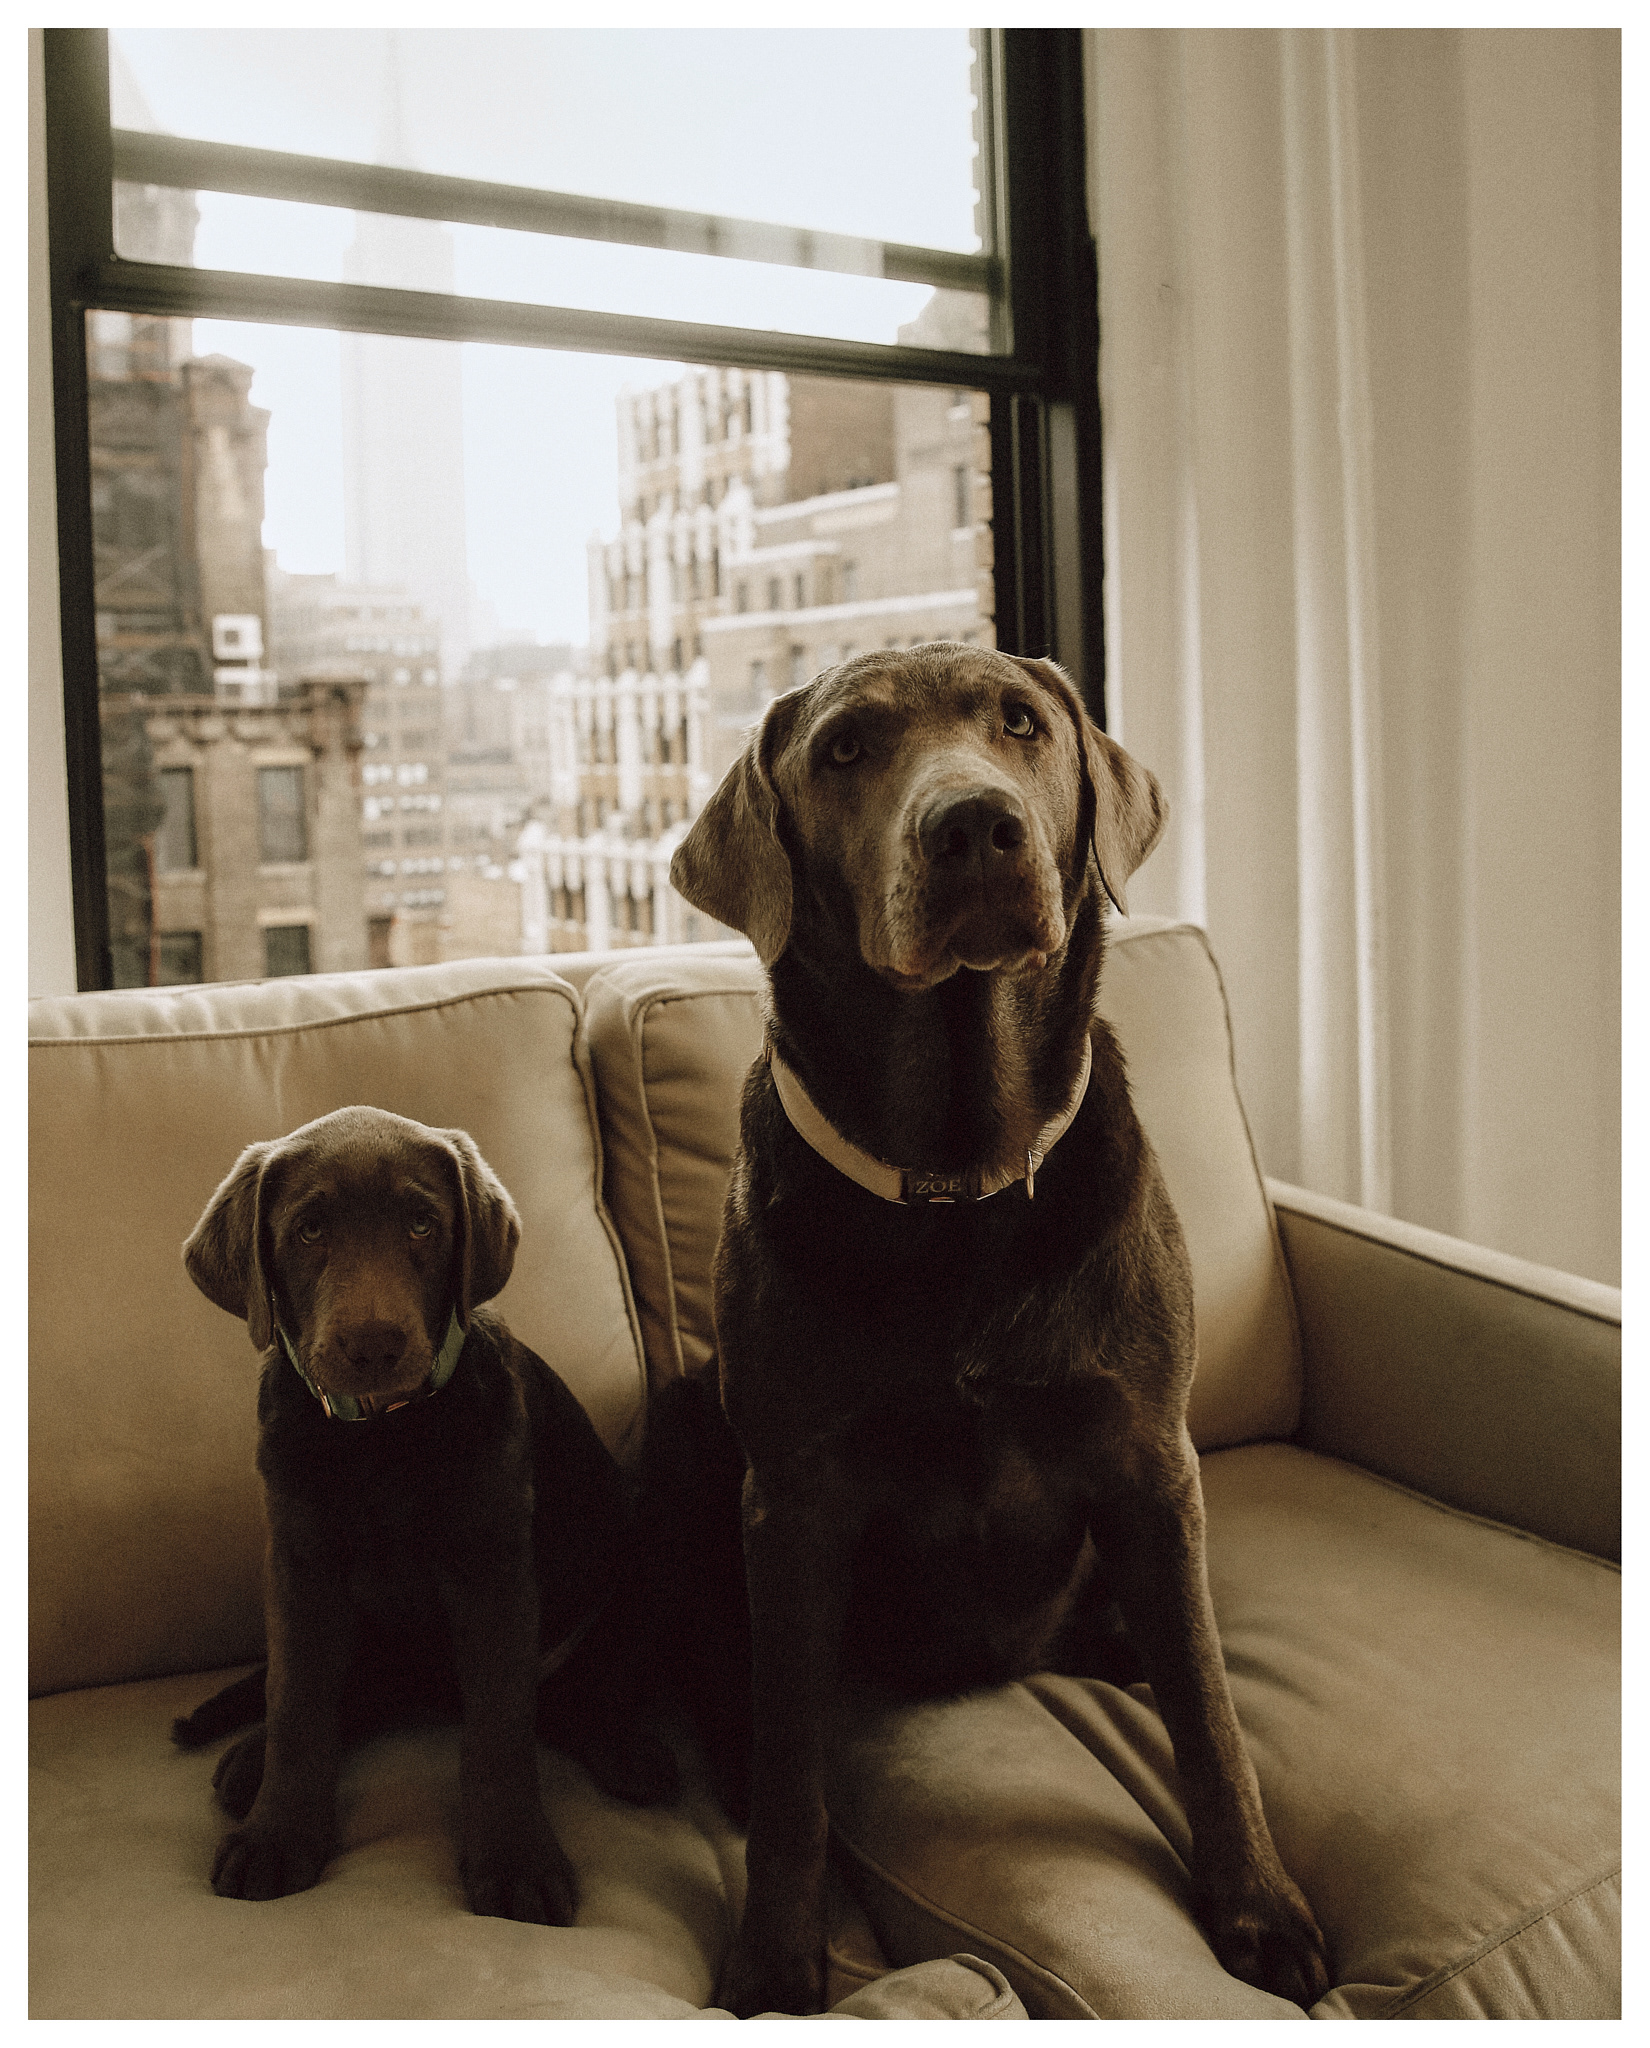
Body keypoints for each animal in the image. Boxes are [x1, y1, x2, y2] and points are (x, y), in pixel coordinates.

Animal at [175, 1105, 676, 1924]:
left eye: (421, 1224)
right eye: (308, 1230)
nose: (372, 1344)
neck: (384, 1433)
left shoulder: (495, 1568)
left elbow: (500, 1723)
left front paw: (514, 1860)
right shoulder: (300, 1566)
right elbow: (298, 1701)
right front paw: (277, 1834)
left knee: (575, 1687)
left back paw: (625, 1748)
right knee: (357, 1688)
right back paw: (250, 1761)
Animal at [669, 642, 1331, 2015]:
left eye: (1021, 725)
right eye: (846, 749)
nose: (975, 825)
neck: (957, 1180)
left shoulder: (1150, 1455)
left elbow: (1211, 1710)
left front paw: (1256, 1904)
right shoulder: (791, 1494)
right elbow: (794, 1757)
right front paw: (776, 1950)